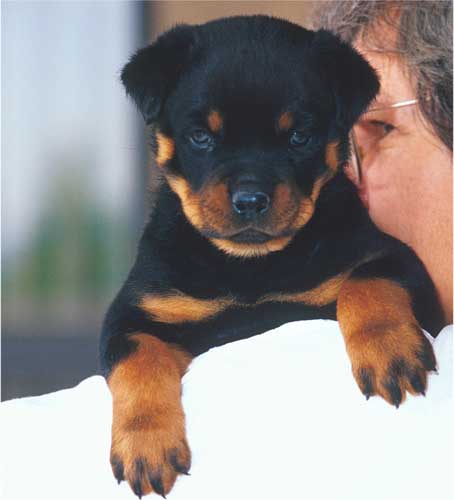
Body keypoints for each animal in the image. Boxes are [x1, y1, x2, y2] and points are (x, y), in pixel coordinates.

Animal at [99, 13, 444, 498]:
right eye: (201, 137)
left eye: (299, 136)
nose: (250, 200)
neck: (252, 267)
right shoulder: (134, 313)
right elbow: (139, 358)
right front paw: (146, 446)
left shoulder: (395, 257)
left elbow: (366, 281)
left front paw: (388, 350)